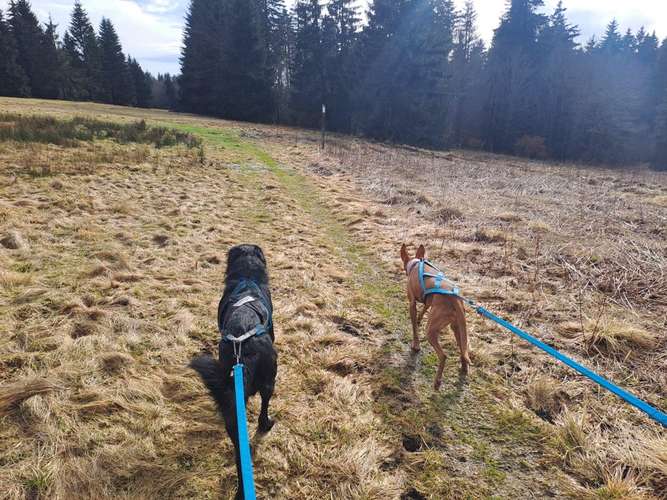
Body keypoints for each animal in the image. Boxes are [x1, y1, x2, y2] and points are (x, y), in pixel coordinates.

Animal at [192, 244, 278, 498]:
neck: (246, 277)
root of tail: (245, 348)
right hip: (271, 378)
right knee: (264, 407)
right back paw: (266, 425)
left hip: (234, 403)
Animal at [402, 244, 470, 388]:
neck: (415, 264)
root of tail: (455, 299)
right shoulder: (428, 302)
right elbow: (423, 310)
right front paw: (419, 319)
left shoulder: (412, 304)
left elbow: (414, 328)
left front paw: (416, 345)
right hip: (457, 328)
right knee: (463, 349)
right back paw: (464, 368)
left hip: (431, 330)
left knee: (443, 356)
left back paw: (437, 382)